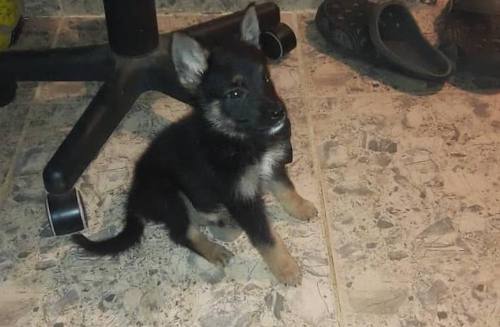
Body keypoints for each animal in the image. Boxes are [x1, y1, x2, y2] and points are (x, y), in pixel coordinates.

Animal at [71, 6, 316, 286]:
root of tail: (134, 199)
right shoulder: (240, 198)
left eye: (265, 78)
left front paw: (301, 206)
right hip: (169, 196)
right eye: (235, 93)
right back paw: (215, 249)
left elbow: (286, 188)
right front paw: (286, 268)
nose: (279, 113)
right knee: (182, 232)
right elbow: (266, 237)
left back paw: (222, 223)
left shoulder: (272, 165)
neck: (236, 138)